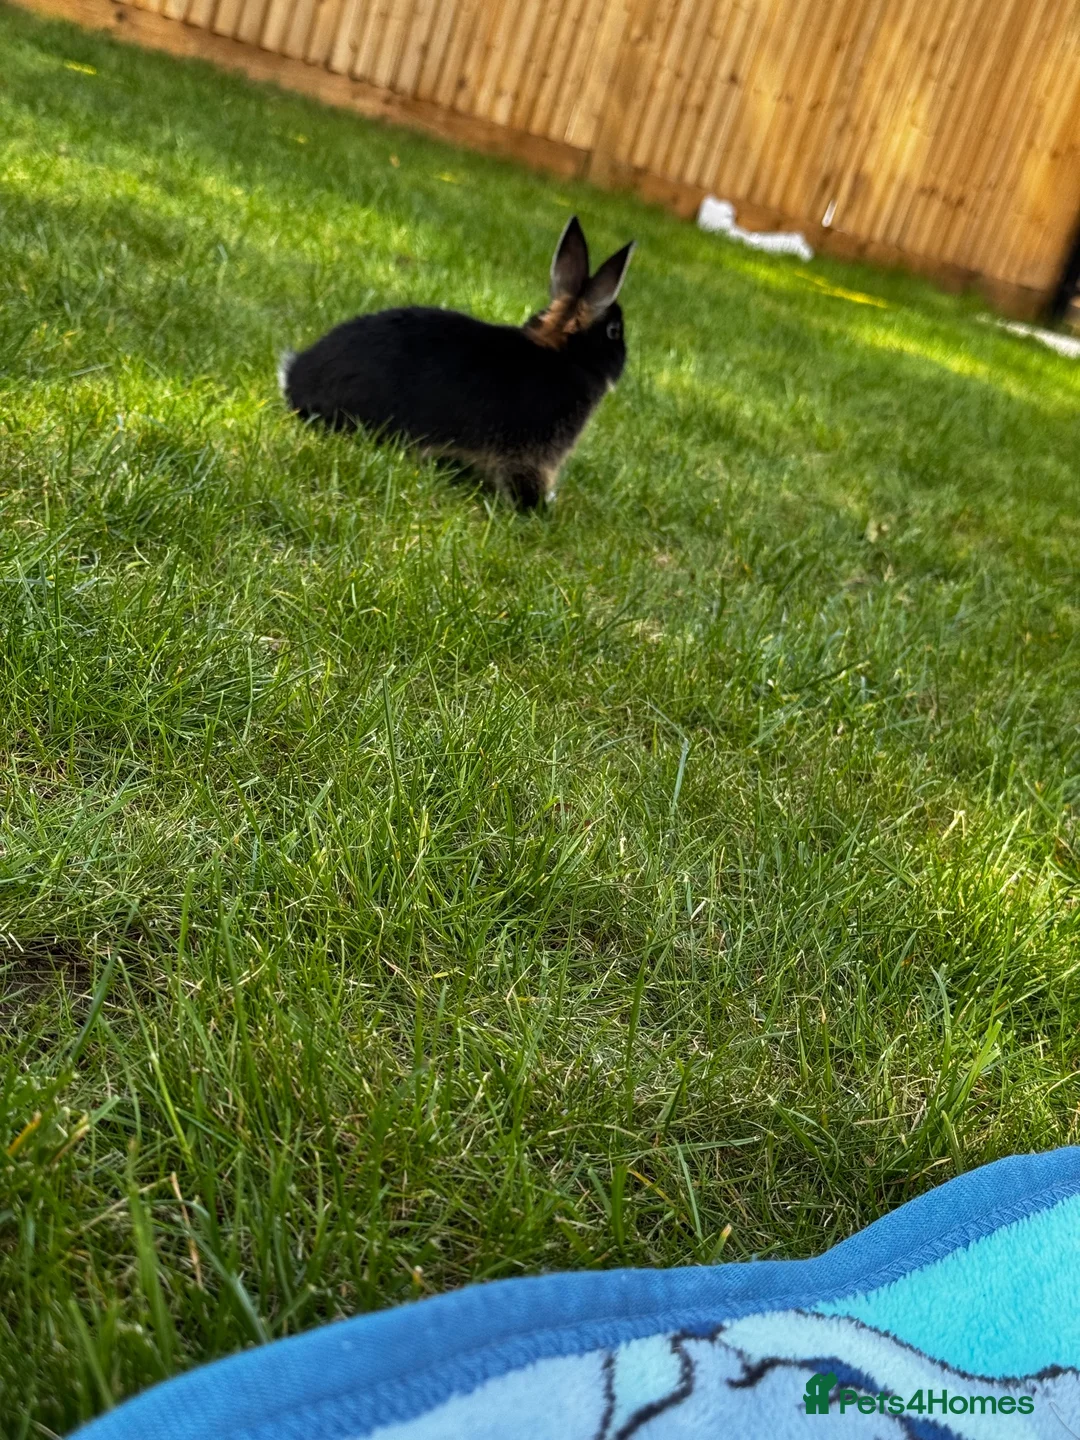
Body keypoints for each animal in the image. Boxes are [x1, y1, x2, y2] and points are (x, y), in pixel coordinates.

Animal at [279, 216, 634, 509]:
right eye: (614, 331)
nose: (624, 361)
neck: (564, 354)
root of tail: (295, 381)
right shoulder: (531, 458)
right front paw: (539, 510)